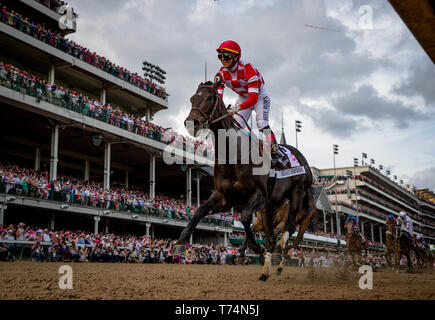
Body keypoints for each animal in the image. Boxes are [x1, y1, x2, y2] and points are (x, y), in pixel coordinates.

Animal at [173, 79, 314, 282]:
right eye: (192, 98)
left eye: (210, 98)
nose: (192, 122)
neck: (233, 155)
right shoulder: (224, 198)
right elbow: (199, 211)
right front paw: (179, 242)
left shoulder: (259, 195)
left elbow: (246, 216)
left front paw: (255, 247)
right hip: (272, 205)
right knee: (271, 235)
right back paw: (265, 271)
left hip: (297, 193)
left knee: (289, 227)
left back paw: (280, 250)